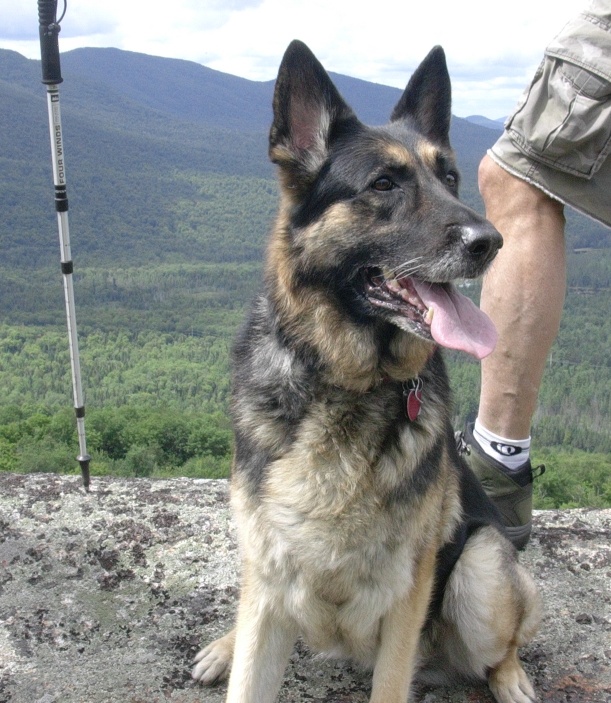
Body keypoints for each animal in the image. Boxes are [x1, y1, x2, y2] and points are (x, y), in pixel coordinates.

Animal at [194, 41, 544, 703]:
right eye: (383, 184)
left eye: (450, 178)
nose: (491, 241)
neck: (343, 384)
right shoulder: (270, 576)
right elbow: (251, 661)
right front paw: (233, 649)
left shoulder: (407, 596)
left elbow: (392, 678)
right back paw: (225, 643)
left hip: (481, 569)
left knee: (508, 641)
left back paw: (512, 679)